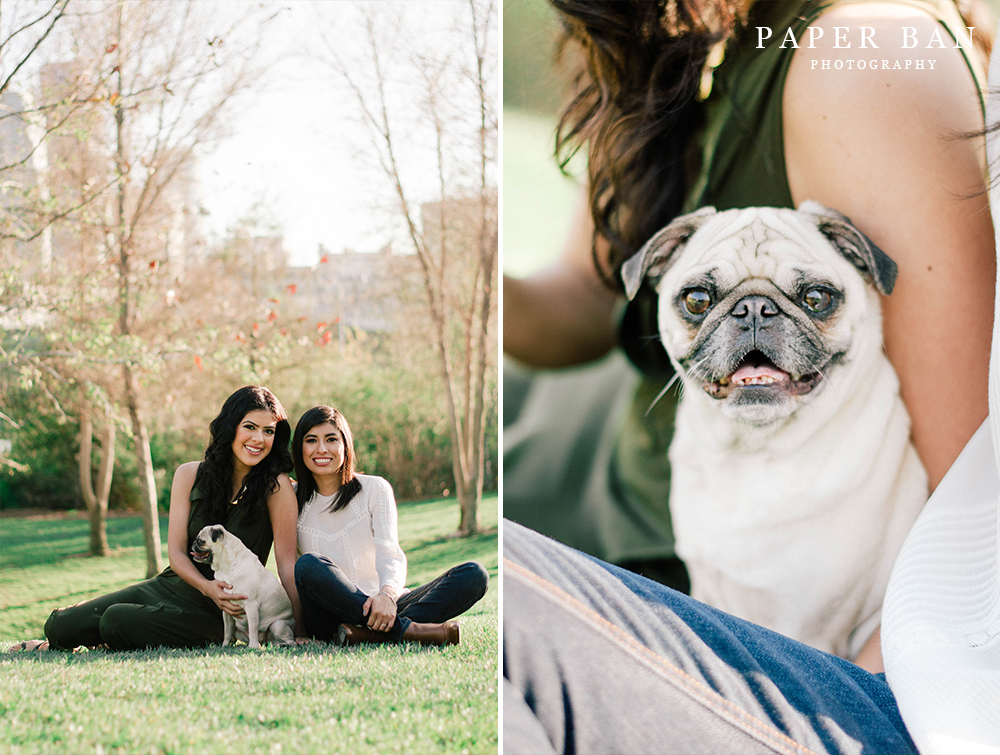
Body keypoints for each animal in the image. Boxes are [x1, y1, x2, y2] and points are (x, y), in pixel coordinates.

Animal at [624, 204, 928, 660]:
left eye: (816, 298)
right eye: (697, 300)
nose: (754, 308)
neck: (751, 453)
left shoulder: (807, 629)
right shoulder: (706, 587)